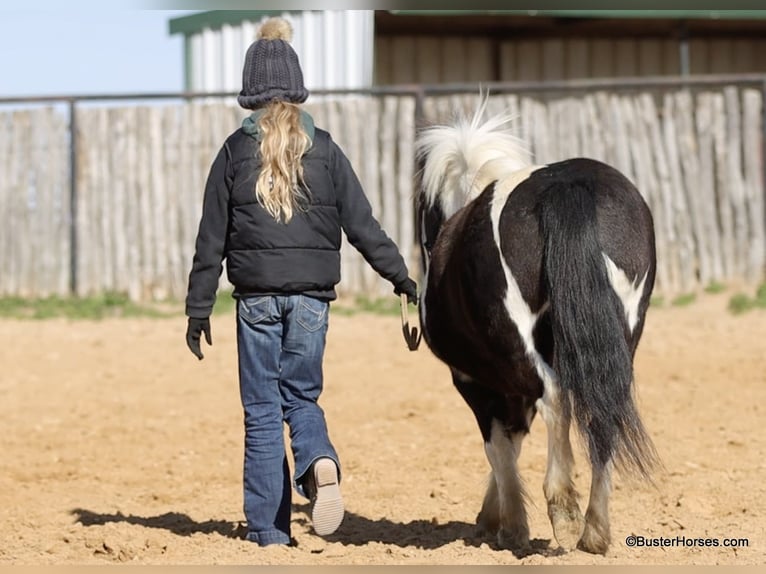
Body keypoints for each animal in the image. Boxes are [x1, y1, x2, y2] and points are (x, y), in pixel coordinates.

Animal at [414, 98, 659, 555]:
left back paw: (564, 511)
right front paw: (493, 517)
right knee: (603, 413)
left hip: (518, 347)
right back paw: (594, 531)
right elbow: (512, 442)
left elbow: (500, 447)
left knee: (558, 399)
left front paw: (509, 526)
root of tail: (567, 188)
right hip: (621, 337)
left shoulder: (476, 382)